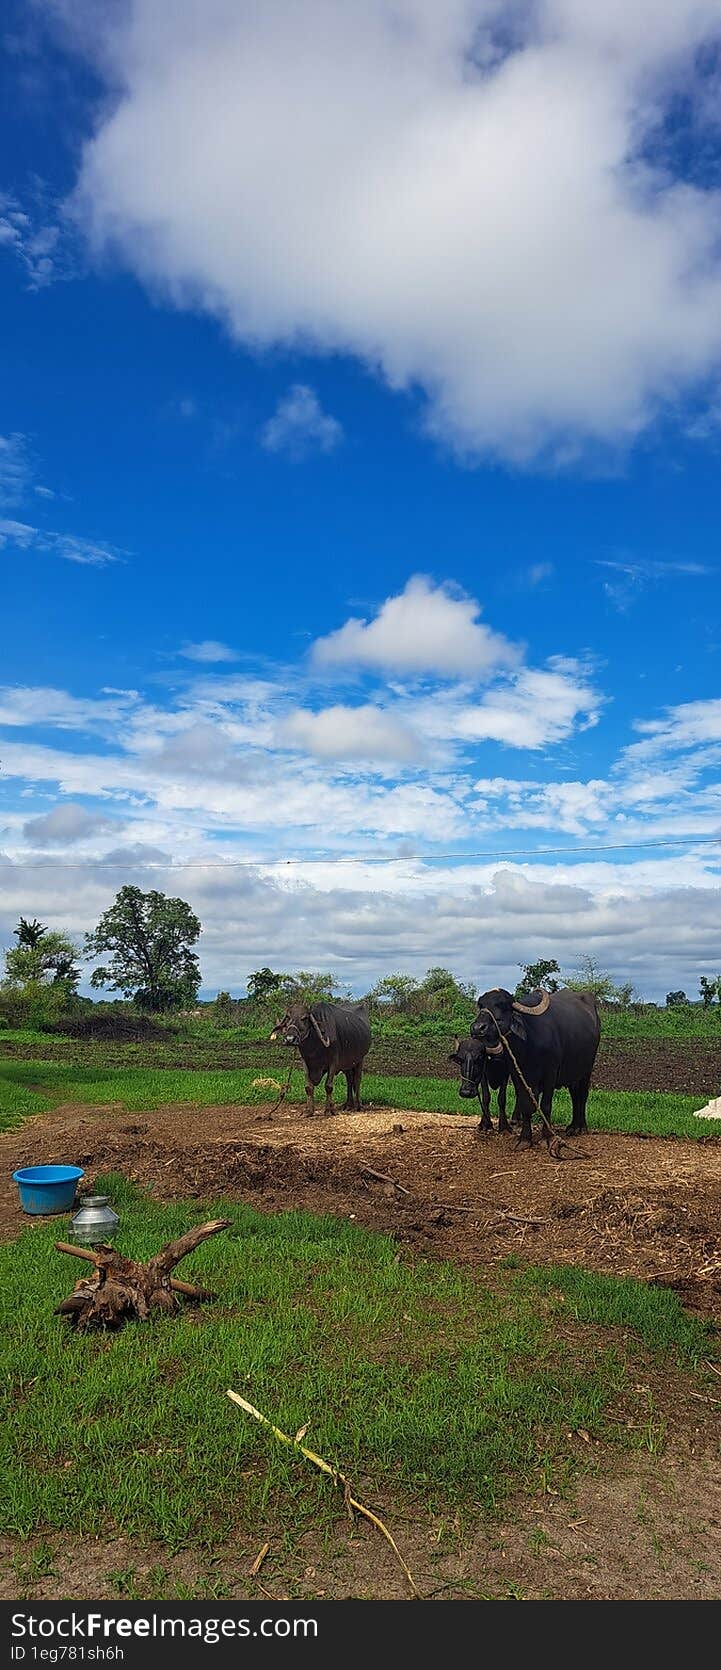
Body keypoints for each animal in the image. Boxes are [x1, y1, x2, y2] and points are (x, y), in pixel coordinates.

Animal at [470, 988, 600, 1148]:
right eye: (481, 1005)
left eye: (503, 1005)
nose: (477, 1028)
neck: (529, 1046)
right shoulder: (517, 1075)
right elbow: (526, 1105)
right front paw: (524, 1139)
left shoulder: (551, 1074)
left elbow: (545, 1106)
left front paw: (548, 1137)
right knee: (575, 1095)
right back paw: (572, 1126)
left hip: (587, 1069)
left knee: (582, 1095)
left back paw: (580, 1127)